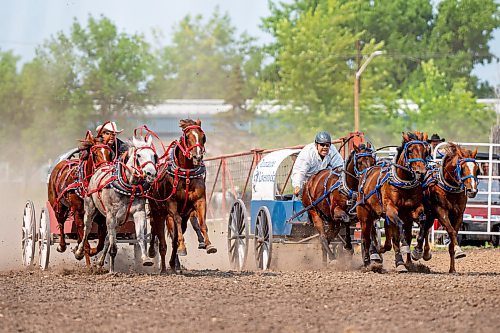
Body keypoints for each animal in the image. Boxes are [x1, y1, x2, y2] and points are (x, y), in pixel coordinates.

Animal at [47, 130, 112, 264]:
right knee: (61, 223)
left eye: (109, 153)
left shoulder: (100, 217)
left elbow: (100, 243)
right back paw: (62, 246)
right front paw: (81, 253)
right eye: (95, 154)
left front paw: (88, 252)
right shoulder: (78, 212)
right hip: (58, 206)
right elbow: (85, 239)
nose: (106, 170)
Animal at [75, 135, 157, 272]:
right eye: (139, 155)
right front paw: (112, 271)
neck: (128, 186)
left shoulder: (138, 213)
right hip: (91, 209)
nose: (152, 173)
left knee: (107, 239)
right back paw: (80, 252)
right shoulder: (111, 216)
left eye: (154, 155)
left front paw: (146, 259)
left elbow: (140, 236)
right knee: (87, 230)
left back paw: (100, 263)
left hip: (119, 222)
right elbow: (113, 246)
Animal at [146, 118, 213, 272]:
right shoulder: (172, 204)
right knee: (156, 231)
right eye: (187, 137)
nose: (197, 156)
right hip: (157, 211)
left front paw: (208, 244)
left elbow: (202, 223)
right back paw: (158, 260)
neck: (186, 174)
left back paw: (172, 264)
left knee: (172, 237)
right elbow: (175, 222)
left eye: (203, 137)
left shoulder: (199, 201)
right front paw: (182, 247)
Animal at [356, 131, 430, 272]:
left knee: (388, 238)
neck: (403, 184)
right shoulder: (391, 209)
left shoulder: (414, 209)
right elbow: (399, 229)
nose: (421, 172)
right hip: (364, 216)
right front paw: (405, 247)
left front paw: (417, 251)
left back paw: (398, 261)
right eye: (410, 151)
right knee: (366, 239)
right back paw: (369, 263)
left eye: (426, 151)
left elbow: (423, 221)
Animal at [412, 141, 478, 272]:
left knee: (425, 229)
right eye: (462, 168)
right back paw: (418, 252)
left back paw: (425, 253)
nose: (472, 190)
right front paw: (459, 251)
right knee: (423, 230)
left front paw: (452, 268)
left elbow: (453, 235)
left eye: (476, 168)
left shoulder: (458, 215)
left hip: (430, 215)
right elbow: (451, 231)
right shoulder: (441, 211)